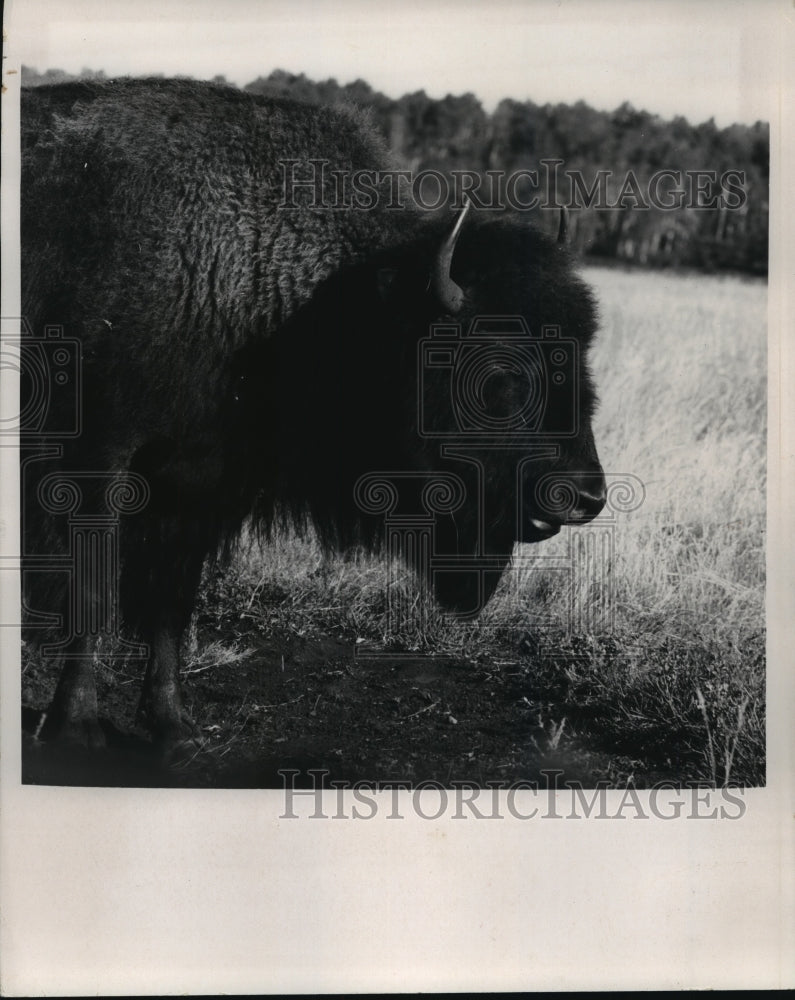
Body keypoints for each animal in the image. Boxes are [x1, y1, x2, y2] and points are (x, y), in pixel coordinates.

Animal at [20, 78, 605, 753]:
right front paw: (77, 728)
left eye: (582, 355)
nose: (586, 497)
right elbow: (90, 592)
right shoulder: (95, 463)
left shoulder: (197, 484)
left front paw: (172, 727)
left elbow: (171, 599)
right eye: (501, 372)